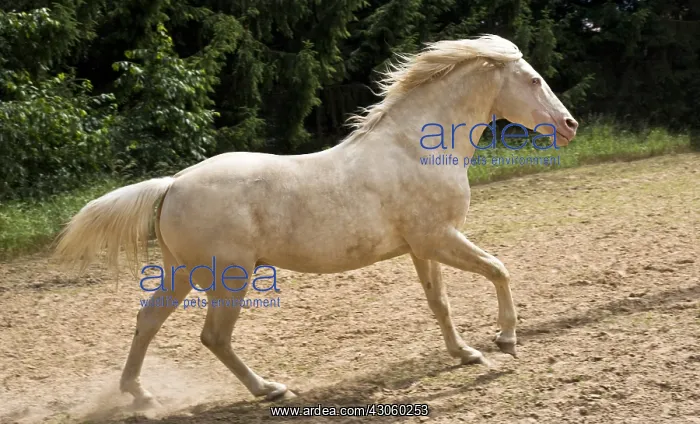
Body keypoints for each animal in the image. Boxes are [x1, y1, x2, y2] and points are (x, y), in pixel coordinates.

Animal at [54, 34, 578, 406]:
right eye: (533, 80)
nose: (569, 125)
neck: (416, 148)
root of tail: (173, 183)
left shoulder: (422, 247)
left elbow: (440, 304)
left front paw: (466, 353)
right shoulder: (440, 238)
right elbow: (498, 269)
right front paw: (506, 340)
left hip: (181, 271)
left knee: (148, 320)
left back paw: (140, 395)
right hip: (229, 278)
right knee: (214, 336)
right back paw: (270, 389)